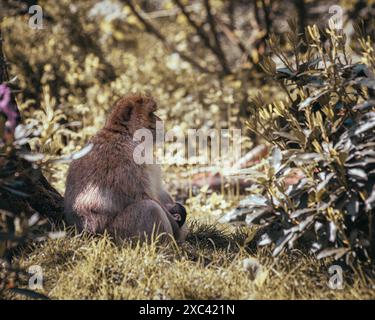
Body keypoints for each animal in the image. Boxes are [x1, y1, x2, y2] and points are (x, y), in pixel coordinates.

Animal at [64, 94, 191, 242]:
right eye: (151, 114)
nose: (161, 121)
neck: (125, 134)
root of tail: (86, 235)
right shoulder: (127, 158)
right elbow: (144, 196)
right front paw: (177, 225)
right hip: (116, 234)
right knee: (149, 208)